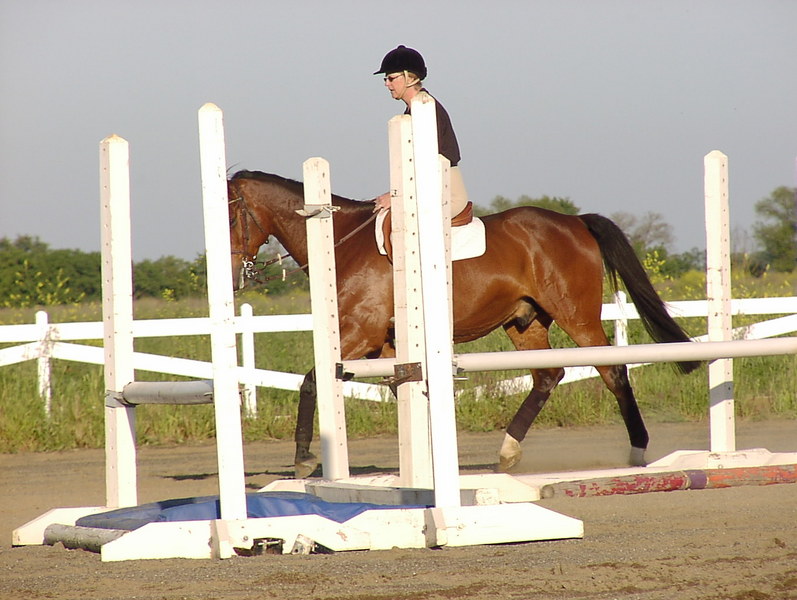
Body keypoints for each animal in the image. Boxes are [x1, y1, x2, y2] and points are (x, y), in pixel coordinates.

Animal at [227, 169, 699, 478]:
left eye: (231, 216)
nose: (233, 278)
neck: (340, 243)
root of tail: (574, 221)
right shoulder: (385, 347)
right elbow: (404, 392)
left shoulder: (360, 335)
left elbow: (311, 380)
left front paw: (304, 458)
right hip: (524, 323)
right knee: (548, 375)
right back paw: (508, 452)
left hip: (578, 317)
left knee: (612, 370)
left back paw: (637, 451)